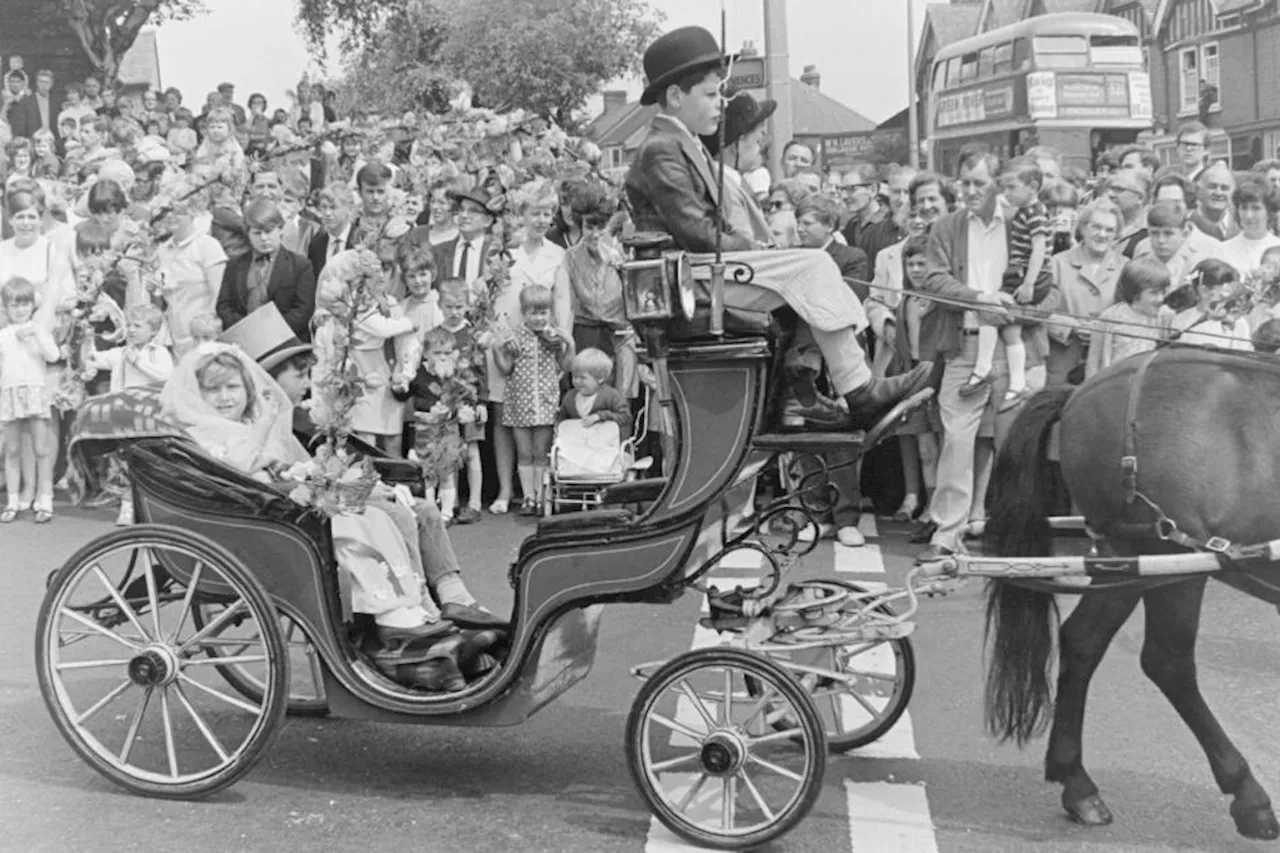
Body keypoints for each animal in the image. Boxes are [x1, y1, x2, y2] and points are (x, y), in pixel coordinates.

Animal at [983, 345, 1280, 835]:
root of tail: (1081, 389)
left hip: (1124, 554)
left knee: (1083, 643)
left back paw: (1077, 783)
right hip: (1170, 560)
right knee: (1168, 664)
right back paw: (1248, 795)